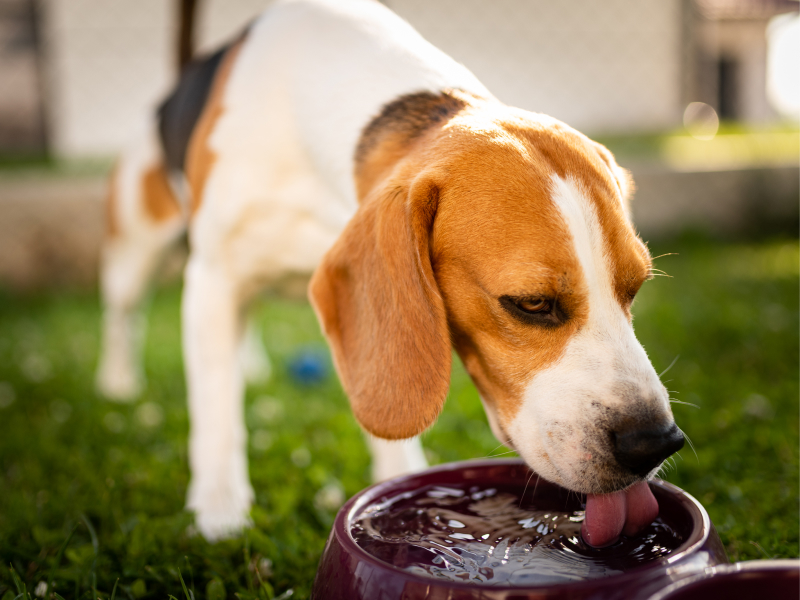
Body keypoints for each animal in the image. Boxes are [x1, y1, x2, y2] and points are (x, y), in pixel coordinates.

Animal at [94, 0, 680, 548]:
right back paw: (118, 382)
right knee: (124, 314)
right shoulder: (213, 277)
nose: (655, 443)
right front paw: (219, 513)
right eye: (530, 303)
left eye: (635, 289)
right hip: (139, 248)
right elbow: (216, 410)